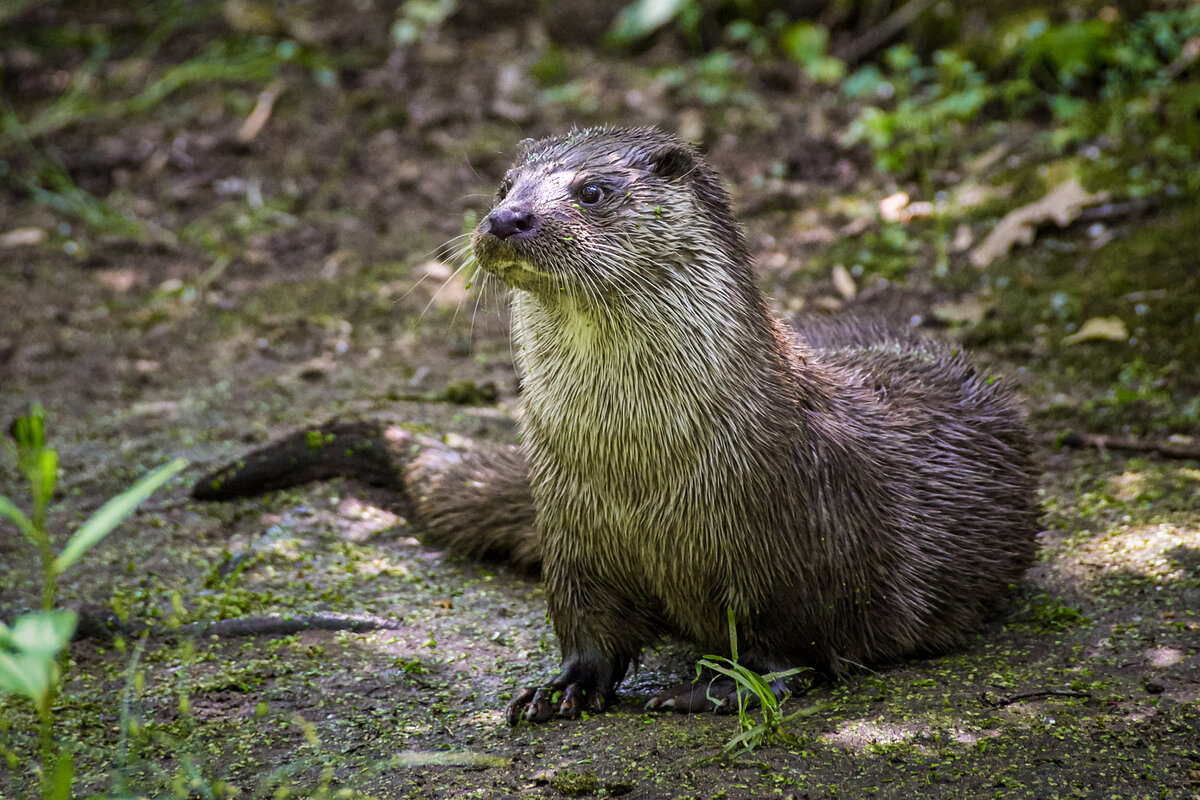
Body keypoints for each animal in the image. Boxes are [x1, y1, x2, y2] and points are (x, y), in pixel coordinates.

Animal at [196, 125, 1041, 724]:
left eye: (594, 190)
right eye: (504, 184)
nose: (507, 218)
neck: (639, 462)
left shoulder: (796, 540)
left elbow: (791, 644)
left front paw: (719, 689)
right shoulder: (569, 526)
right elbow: (587, 627)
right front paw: (560, 690)